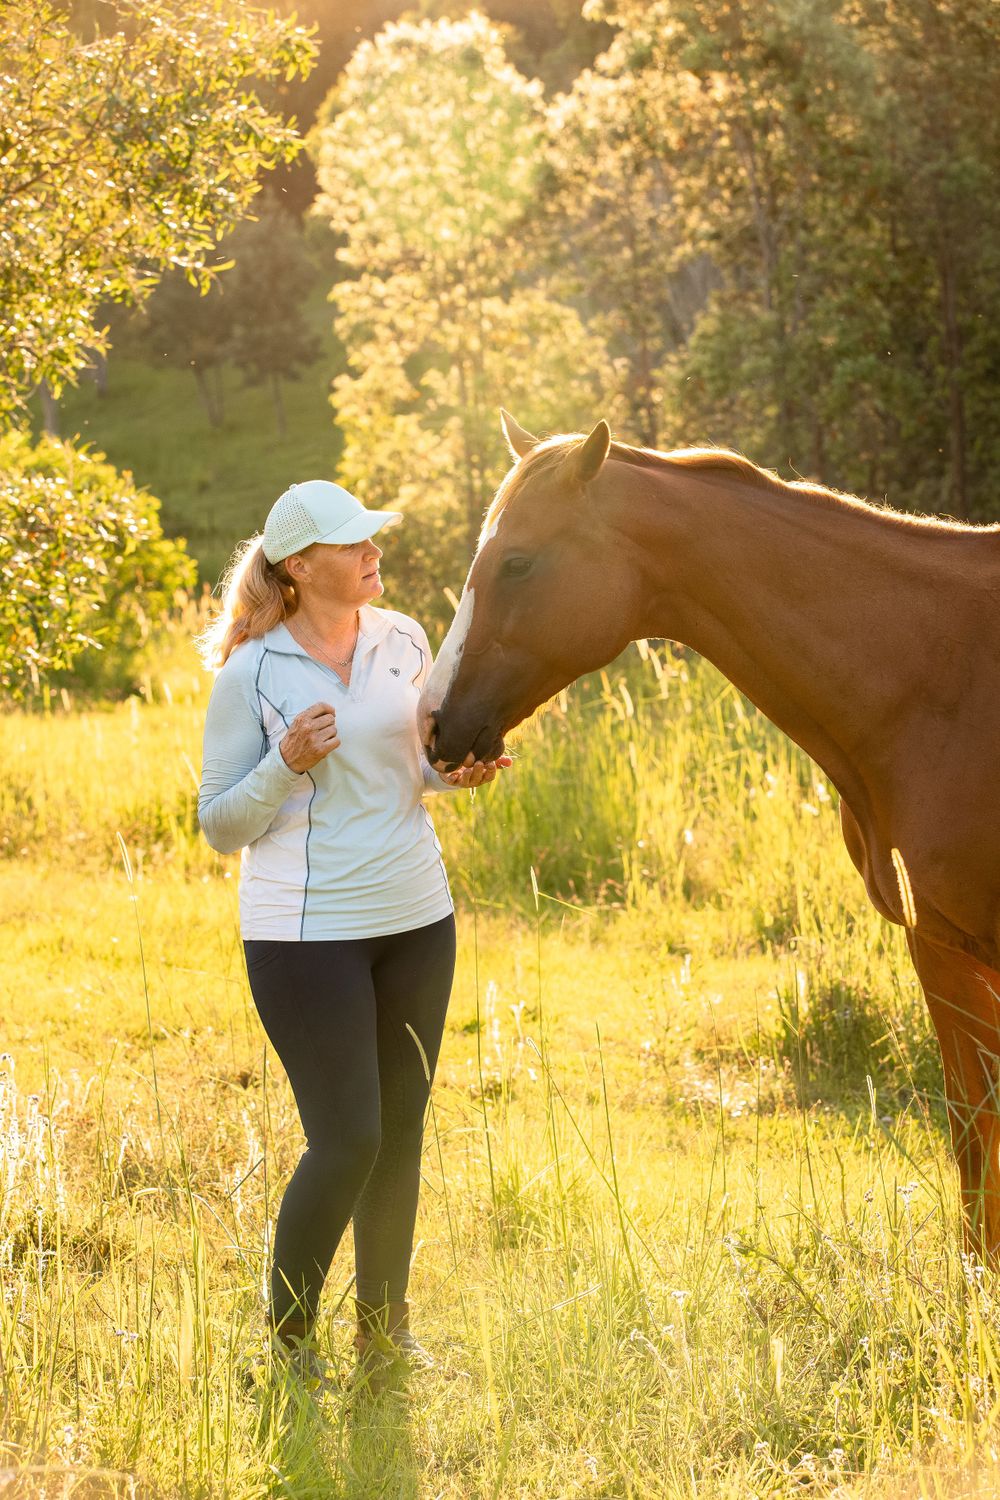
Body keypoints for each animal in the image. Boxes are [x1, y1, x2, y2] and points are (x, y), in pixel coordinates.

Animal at [418, 409, 1000, 1259]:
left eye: (516, 563)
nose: (432, 724)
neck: (938, 674)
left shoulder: (961, 945)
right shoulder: (940, 946)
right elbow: (971, 1139)